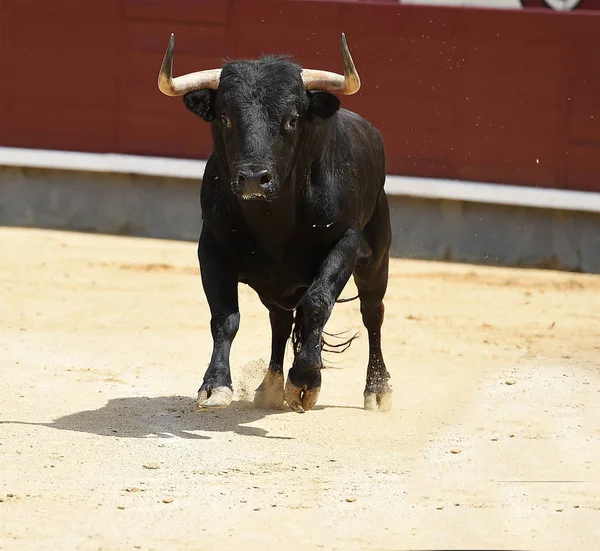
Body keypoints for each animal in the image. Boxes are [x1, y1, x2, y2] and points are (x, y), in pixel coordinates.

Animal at [159, 33, 394, 414]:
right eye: (224, 118)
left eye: (293, 119)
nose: (254, 179)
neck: (274, 221)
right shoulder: (211, 248)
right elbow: (224, 317)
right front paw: (215, 385)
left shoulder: (345, 242)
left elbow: (318, 302)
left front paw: (304, 381)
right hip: (276, 286)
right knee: (280, 322)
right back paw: (269, 387)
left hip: (377, 257)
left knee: (372, 312)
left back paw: (377, 389)